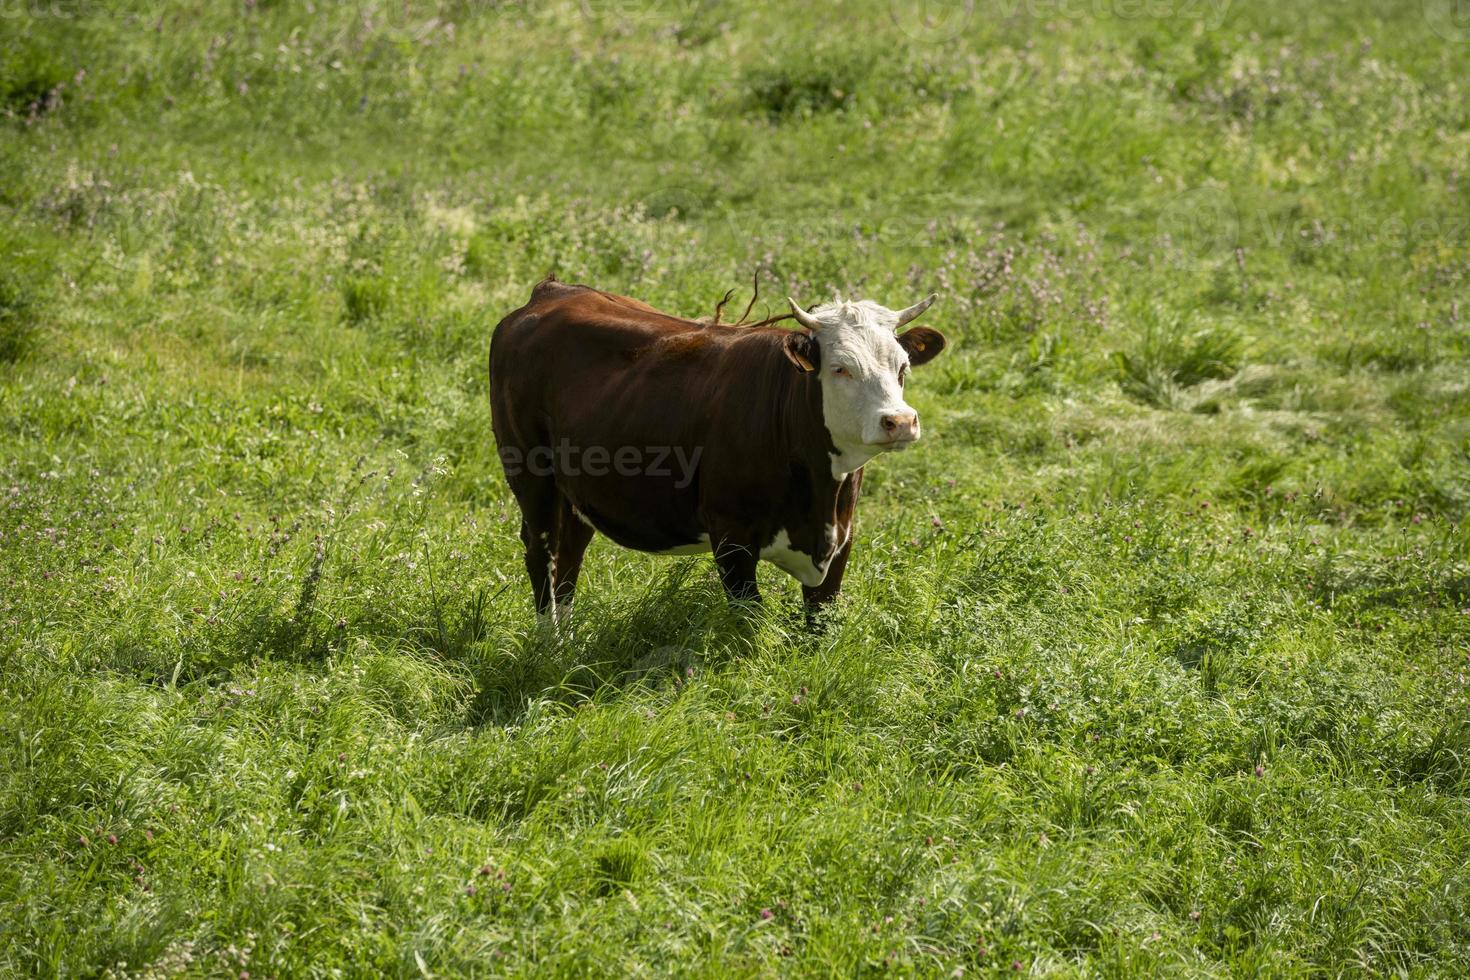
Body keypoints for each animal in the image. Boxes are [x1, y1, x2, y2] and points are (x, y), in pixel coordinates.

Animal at [488, 276, 947, 622]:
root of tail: (554, 291)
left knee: (570, 552)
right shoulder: (732, 539)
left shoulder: (842, 542)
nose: (899, 421)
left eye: (902, 367)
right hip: (530, 473)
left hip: (578, 490)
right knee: (542, 553)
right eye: (840, 368)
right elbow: (750, 627)